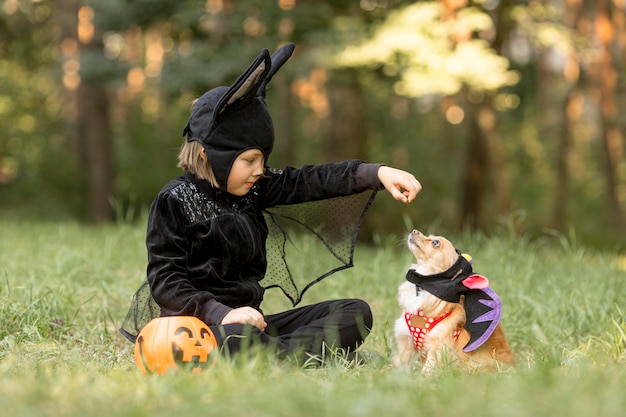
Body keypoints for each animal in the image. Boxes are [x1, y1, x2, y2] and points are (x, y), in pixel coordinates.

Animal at [394, 229, 512, 372]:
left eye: (435, 242)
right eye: (429, 236)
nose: (415, 231)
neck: (422, 287)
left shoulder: (438, 345)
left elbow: (429, 368)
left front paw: (422, 377)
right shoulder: (406, 341)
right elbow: (401, 363)